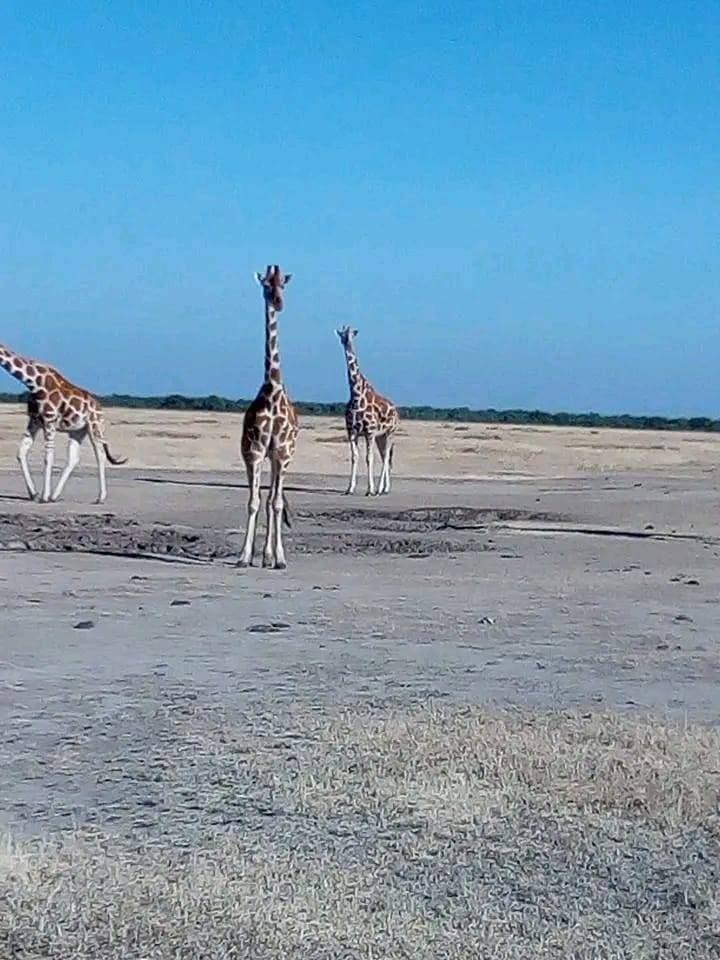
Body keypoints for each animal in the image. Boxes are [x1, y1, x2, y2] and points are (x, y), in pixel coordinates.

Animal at [0, 343, 127, 504]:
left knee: (100, 455)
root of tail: (99, 407)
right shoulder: (34, 420)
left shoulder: (49, 420)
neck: (33, 383)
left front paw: (43, 497)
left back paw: (100, 497)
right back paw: (55, 495)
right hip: (78, 431)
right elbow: (21, 453)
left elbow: (48, 458)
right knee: (74, 458)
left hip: (94, 426)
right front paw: (34, 494)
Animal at [336, 325, 399, 496]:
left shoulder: (369, 432)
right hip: (380, 437)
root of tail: (397, 412)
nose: (347, 342)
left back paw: (380, 489)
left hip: (389, 433)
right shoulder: (351, 431)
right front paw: (349, 489)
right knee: (384, 457)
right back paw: (384, 488)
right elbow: (354, 457)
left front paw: (370, 490)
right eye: (342, 335)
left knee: (385, 458)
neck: (356, 395)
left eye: (352, 334)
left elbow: (369, 458)